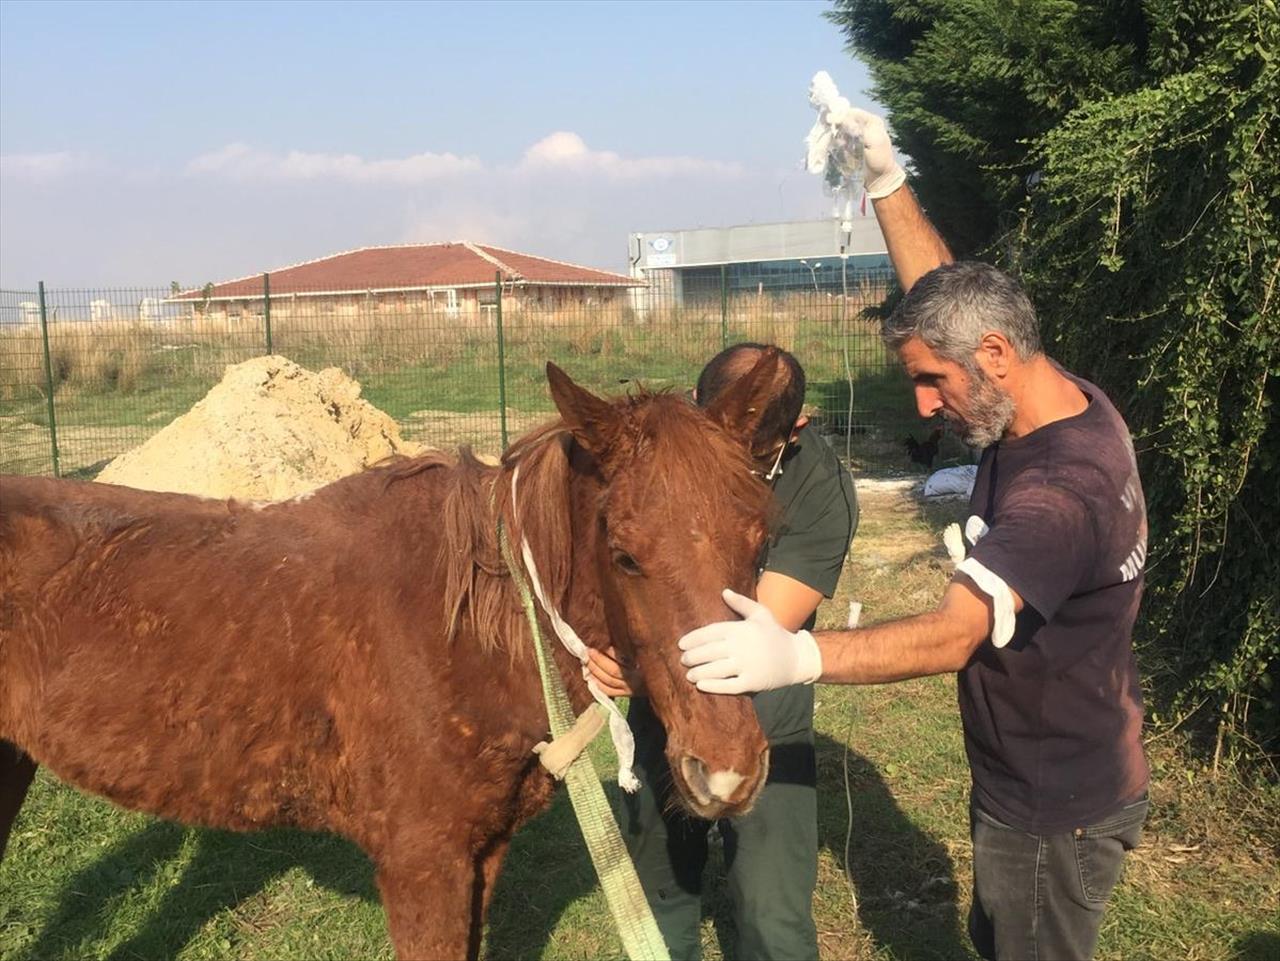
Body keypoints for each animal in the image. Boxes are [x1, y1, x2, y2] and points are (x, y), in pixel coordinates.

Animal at [0, 358, 778, 961]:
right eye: (624, 554)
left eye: (762, 538)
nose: (727, 771)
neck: (468, 629)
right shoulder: (421, 864)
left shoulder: (481, 854)